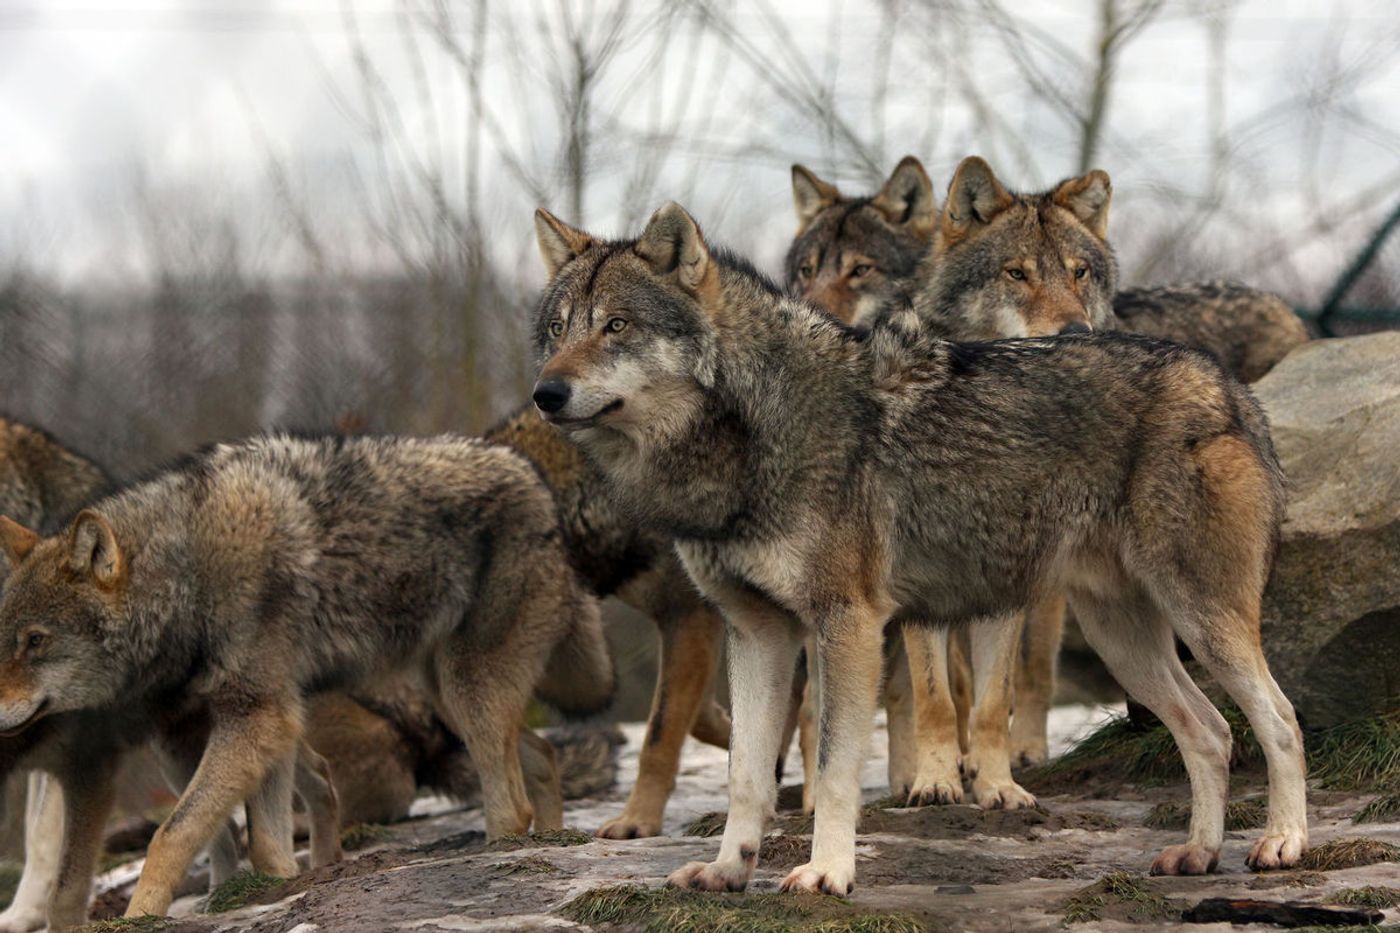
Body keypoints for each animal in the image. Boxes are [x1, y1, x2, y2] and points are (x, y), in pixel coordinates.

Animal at [0, 431, 602, 918]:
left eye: (36, 642)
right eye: (6, 639)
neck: (188, 574)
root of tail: (533, 478)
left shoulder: (257, 716)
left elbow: (172, 835)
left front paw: (141, 915)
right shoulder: (261, 717)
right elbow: (261, 842)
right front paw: (280, 887)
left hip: (465, 690)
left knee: (512, 801)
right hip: (448, 697)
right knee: (543, 754)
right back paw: (556, 840)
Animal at [529, 203, 1304, 896]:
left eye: (617, 326)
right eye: (559, 328)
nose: (545, 392)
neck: (750, 431)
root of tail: (1228, 386)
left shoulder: (847, 625)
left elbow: (834, 768)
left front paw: (826, 874)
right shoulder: (756, 634)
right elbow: (747, 775)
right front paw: (727, 871)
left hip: (1204, 624)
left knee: (1280, 719)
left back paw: (1281, 844)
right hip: (1127, 642)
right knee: (1210, 732)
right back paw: (1198, 853)